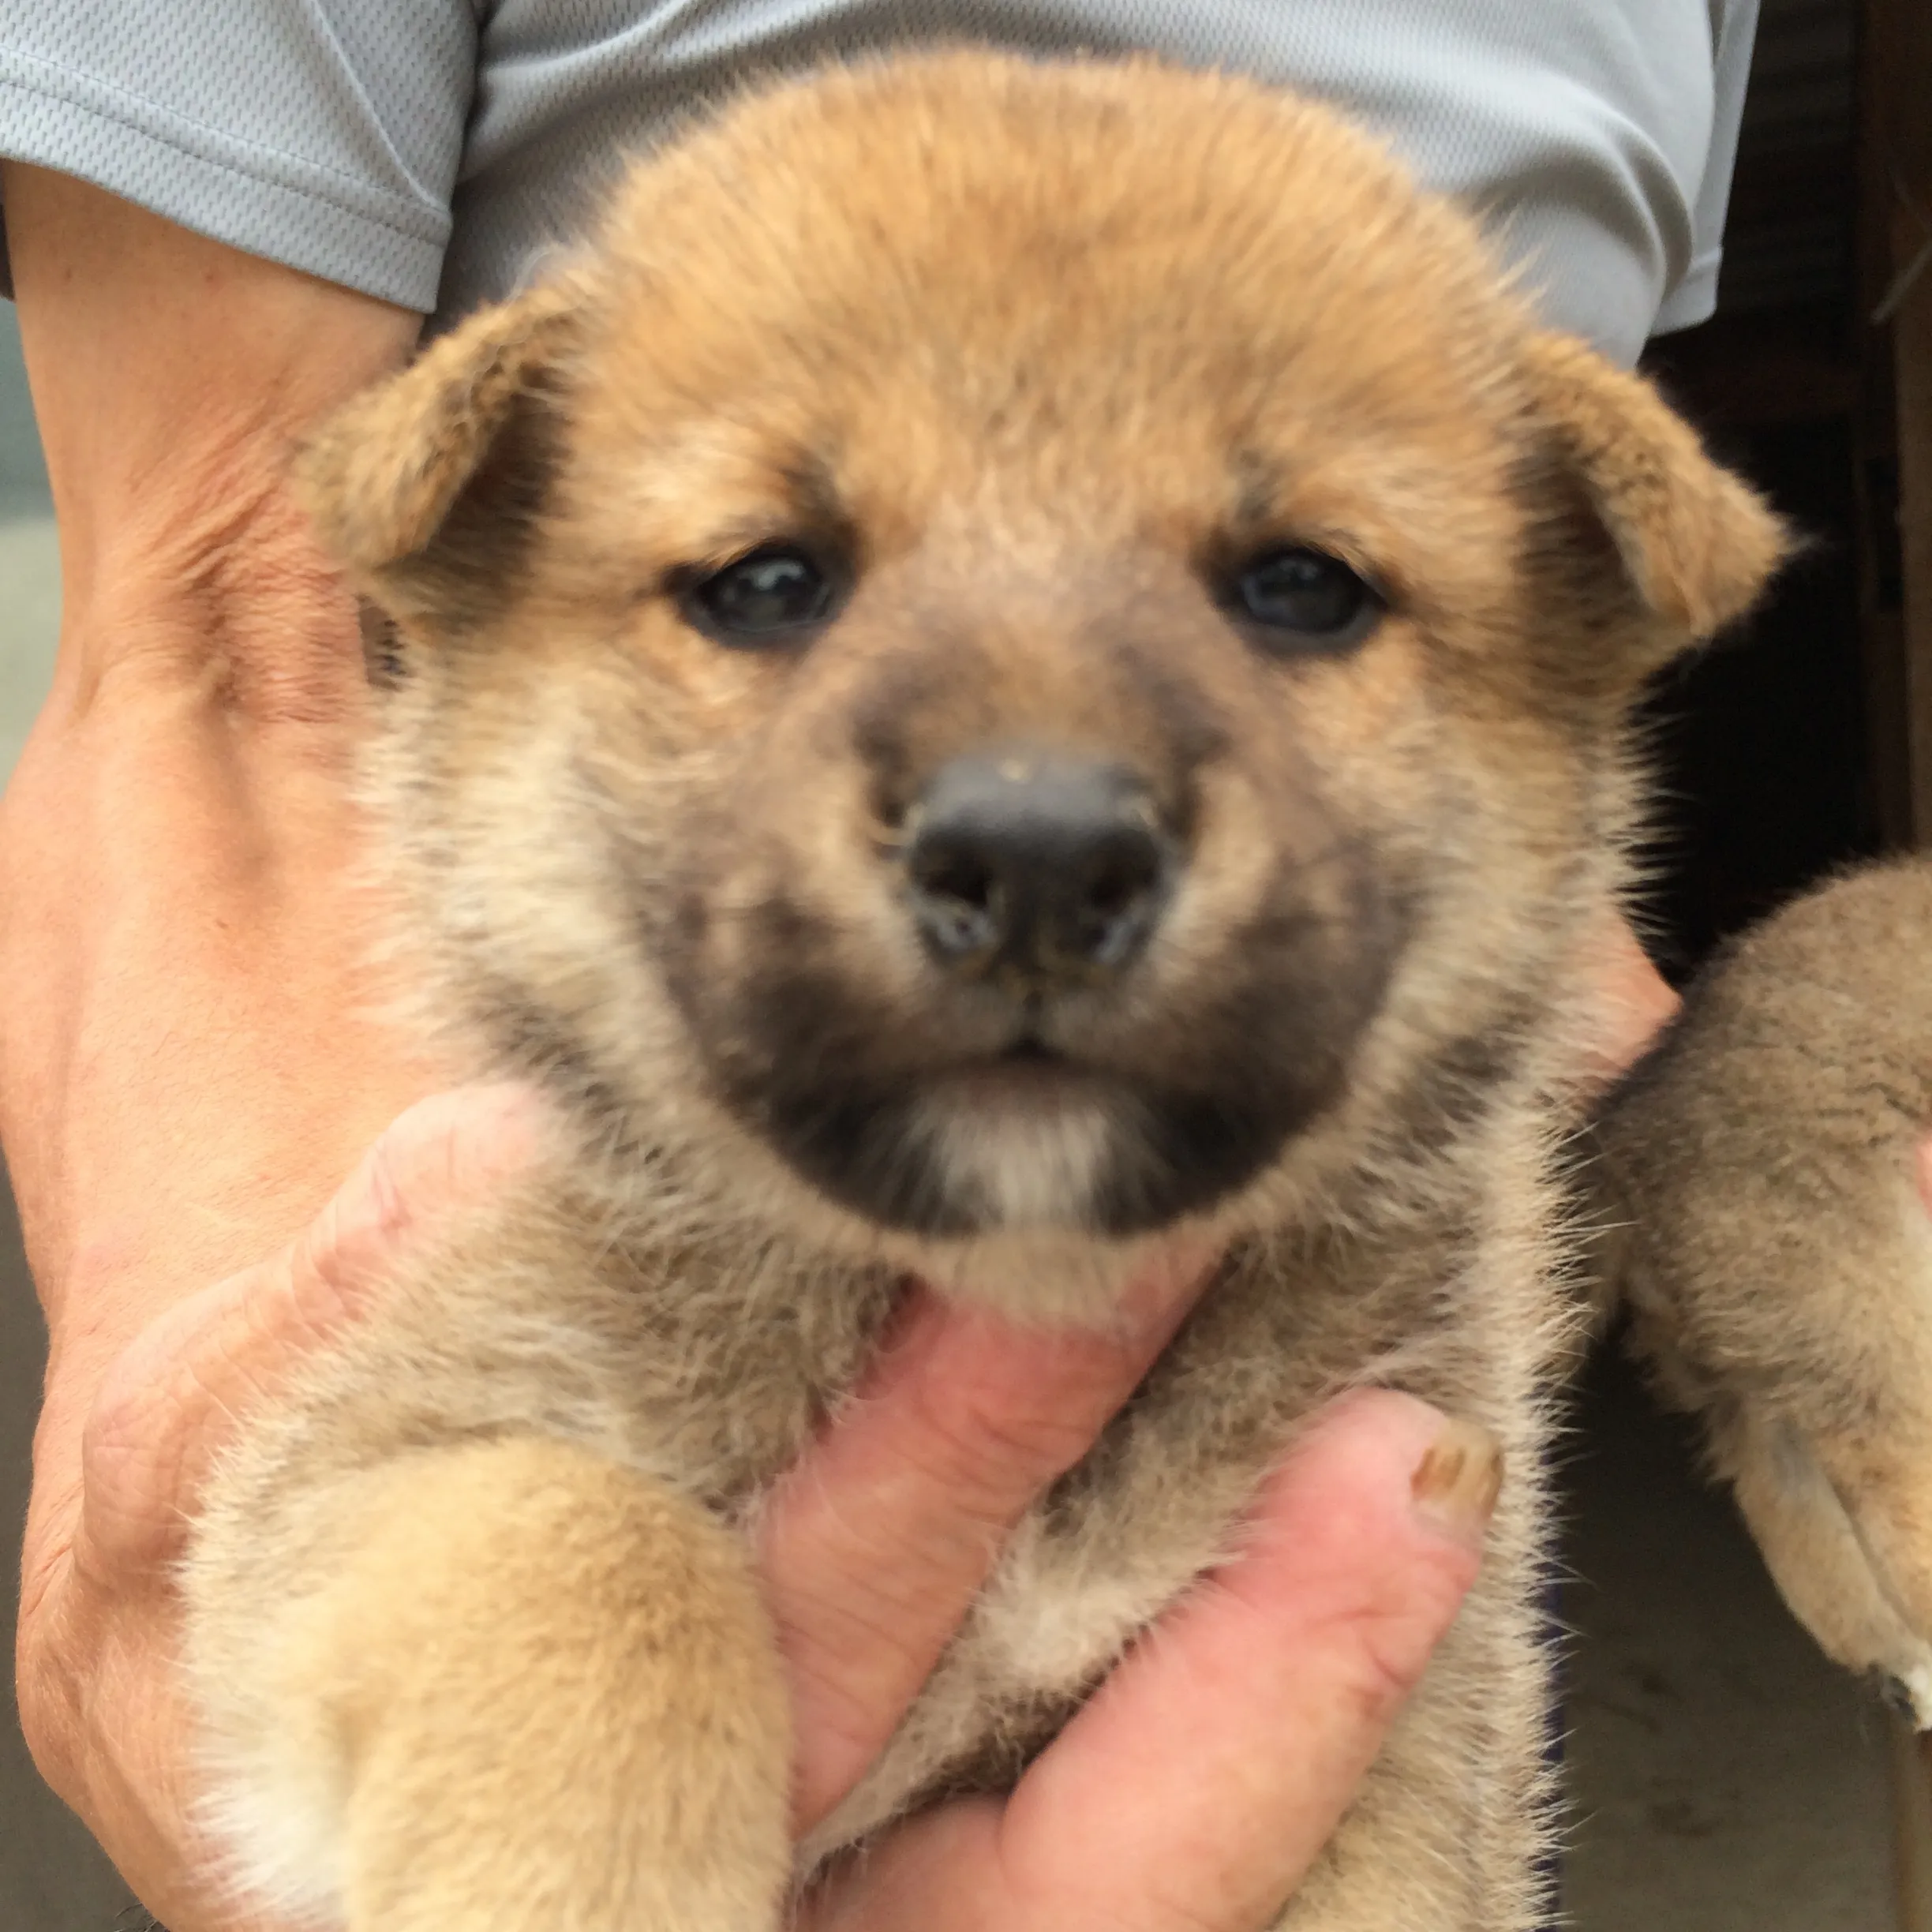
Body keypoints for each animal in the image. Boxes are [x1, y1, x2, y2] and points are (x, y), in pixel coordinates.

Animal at [182, 53, 1777, 1924]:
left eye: (1302, 586)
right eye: (767, 581)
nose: (1035, 854)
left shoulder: (1418, 1740)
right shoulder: (352, 1471)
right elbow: (593, 1548)